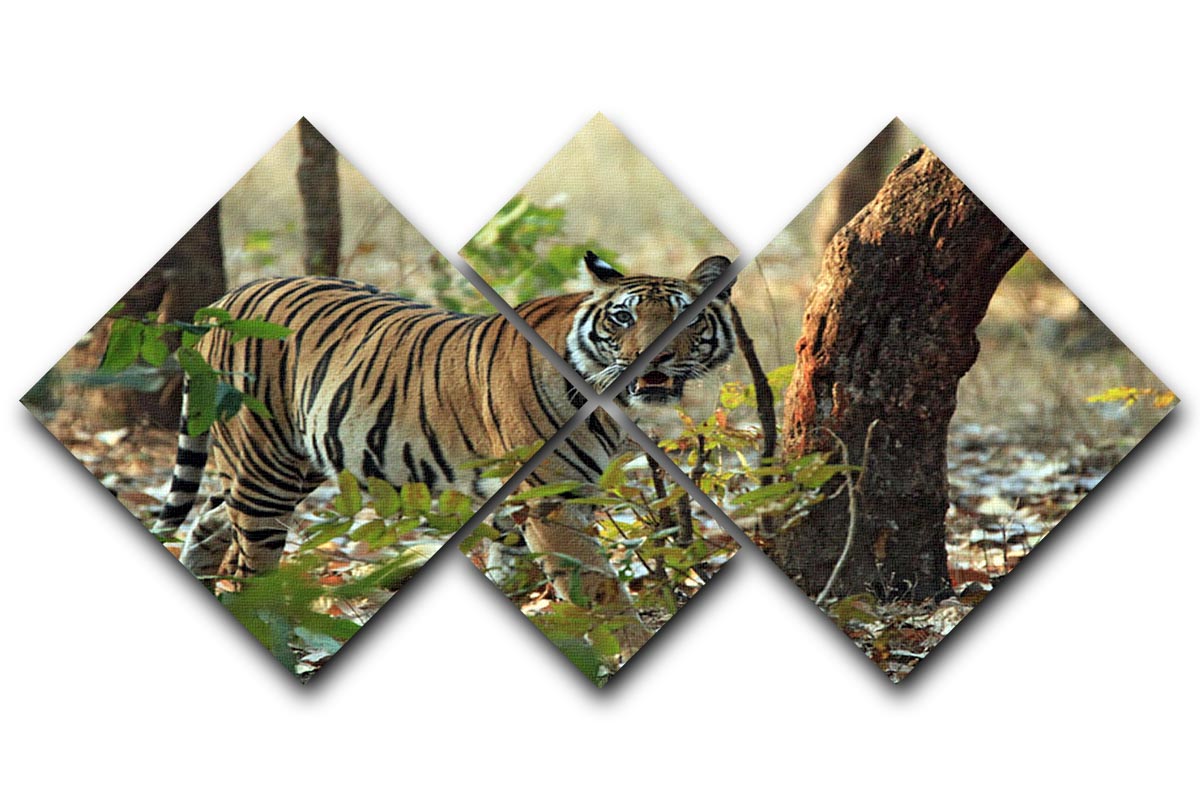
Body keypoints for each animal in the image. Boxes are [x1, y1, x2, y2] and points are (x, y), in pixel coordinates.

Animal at [152, 251, 737, 658]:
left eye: (689, 320)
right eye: (622, 318)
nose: (653, 359)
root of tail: (228, 298)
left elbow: (516, 573)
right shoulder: (554, 498)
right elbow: (598, 586)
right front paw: (627, 647)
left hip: (291, 463)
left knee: (210, 520)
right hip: (265, 464)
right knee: (249, 561)